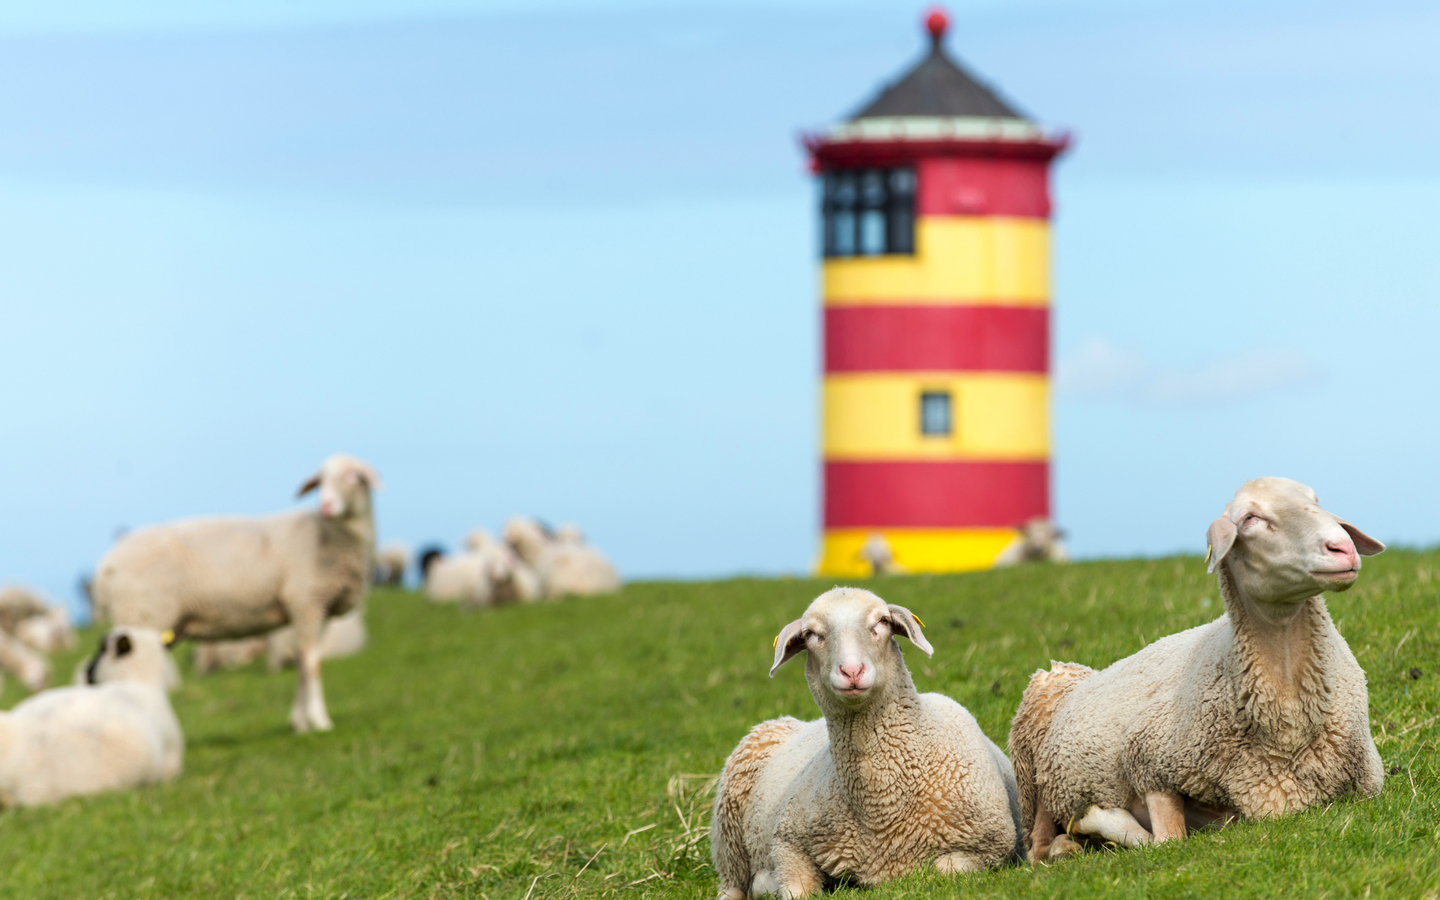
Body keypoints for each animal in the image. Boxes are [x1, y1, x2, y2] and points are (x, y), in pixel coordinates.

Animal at [91, 453, 381, 733]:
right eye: (320, 481)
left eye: (353, 477)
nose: (327, 507)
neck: (329, 534)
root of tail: (105, 566)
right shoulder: (306, 603)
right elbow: (313, 665)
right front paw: (319, 720)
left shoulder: (319, 611)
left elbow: (303, 664)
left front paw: (299, 722)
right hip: (142, 615)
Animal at [711, 587, 1022, 898]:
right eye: (811, 633)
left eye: (882, 621)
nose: (851, 671)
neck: (881, 808)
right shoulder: (788, 838)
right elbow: (794, 887)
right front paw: (772, 882)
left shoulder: (992, 846)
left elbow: (945, 868)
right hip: (729, 831)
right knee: (733, 884)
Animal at [1008, 477, 1385, 860]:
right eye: (1249, 518)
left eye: (1315, 501)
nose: (1342, 548)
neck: (1289, 727)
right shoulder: (1147, 759)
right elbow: (1166, 840)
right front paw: (1098, 817)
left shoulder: (1367, 786)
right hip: (1033, 771)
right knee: (1038, 847)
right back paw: (1067, 844)